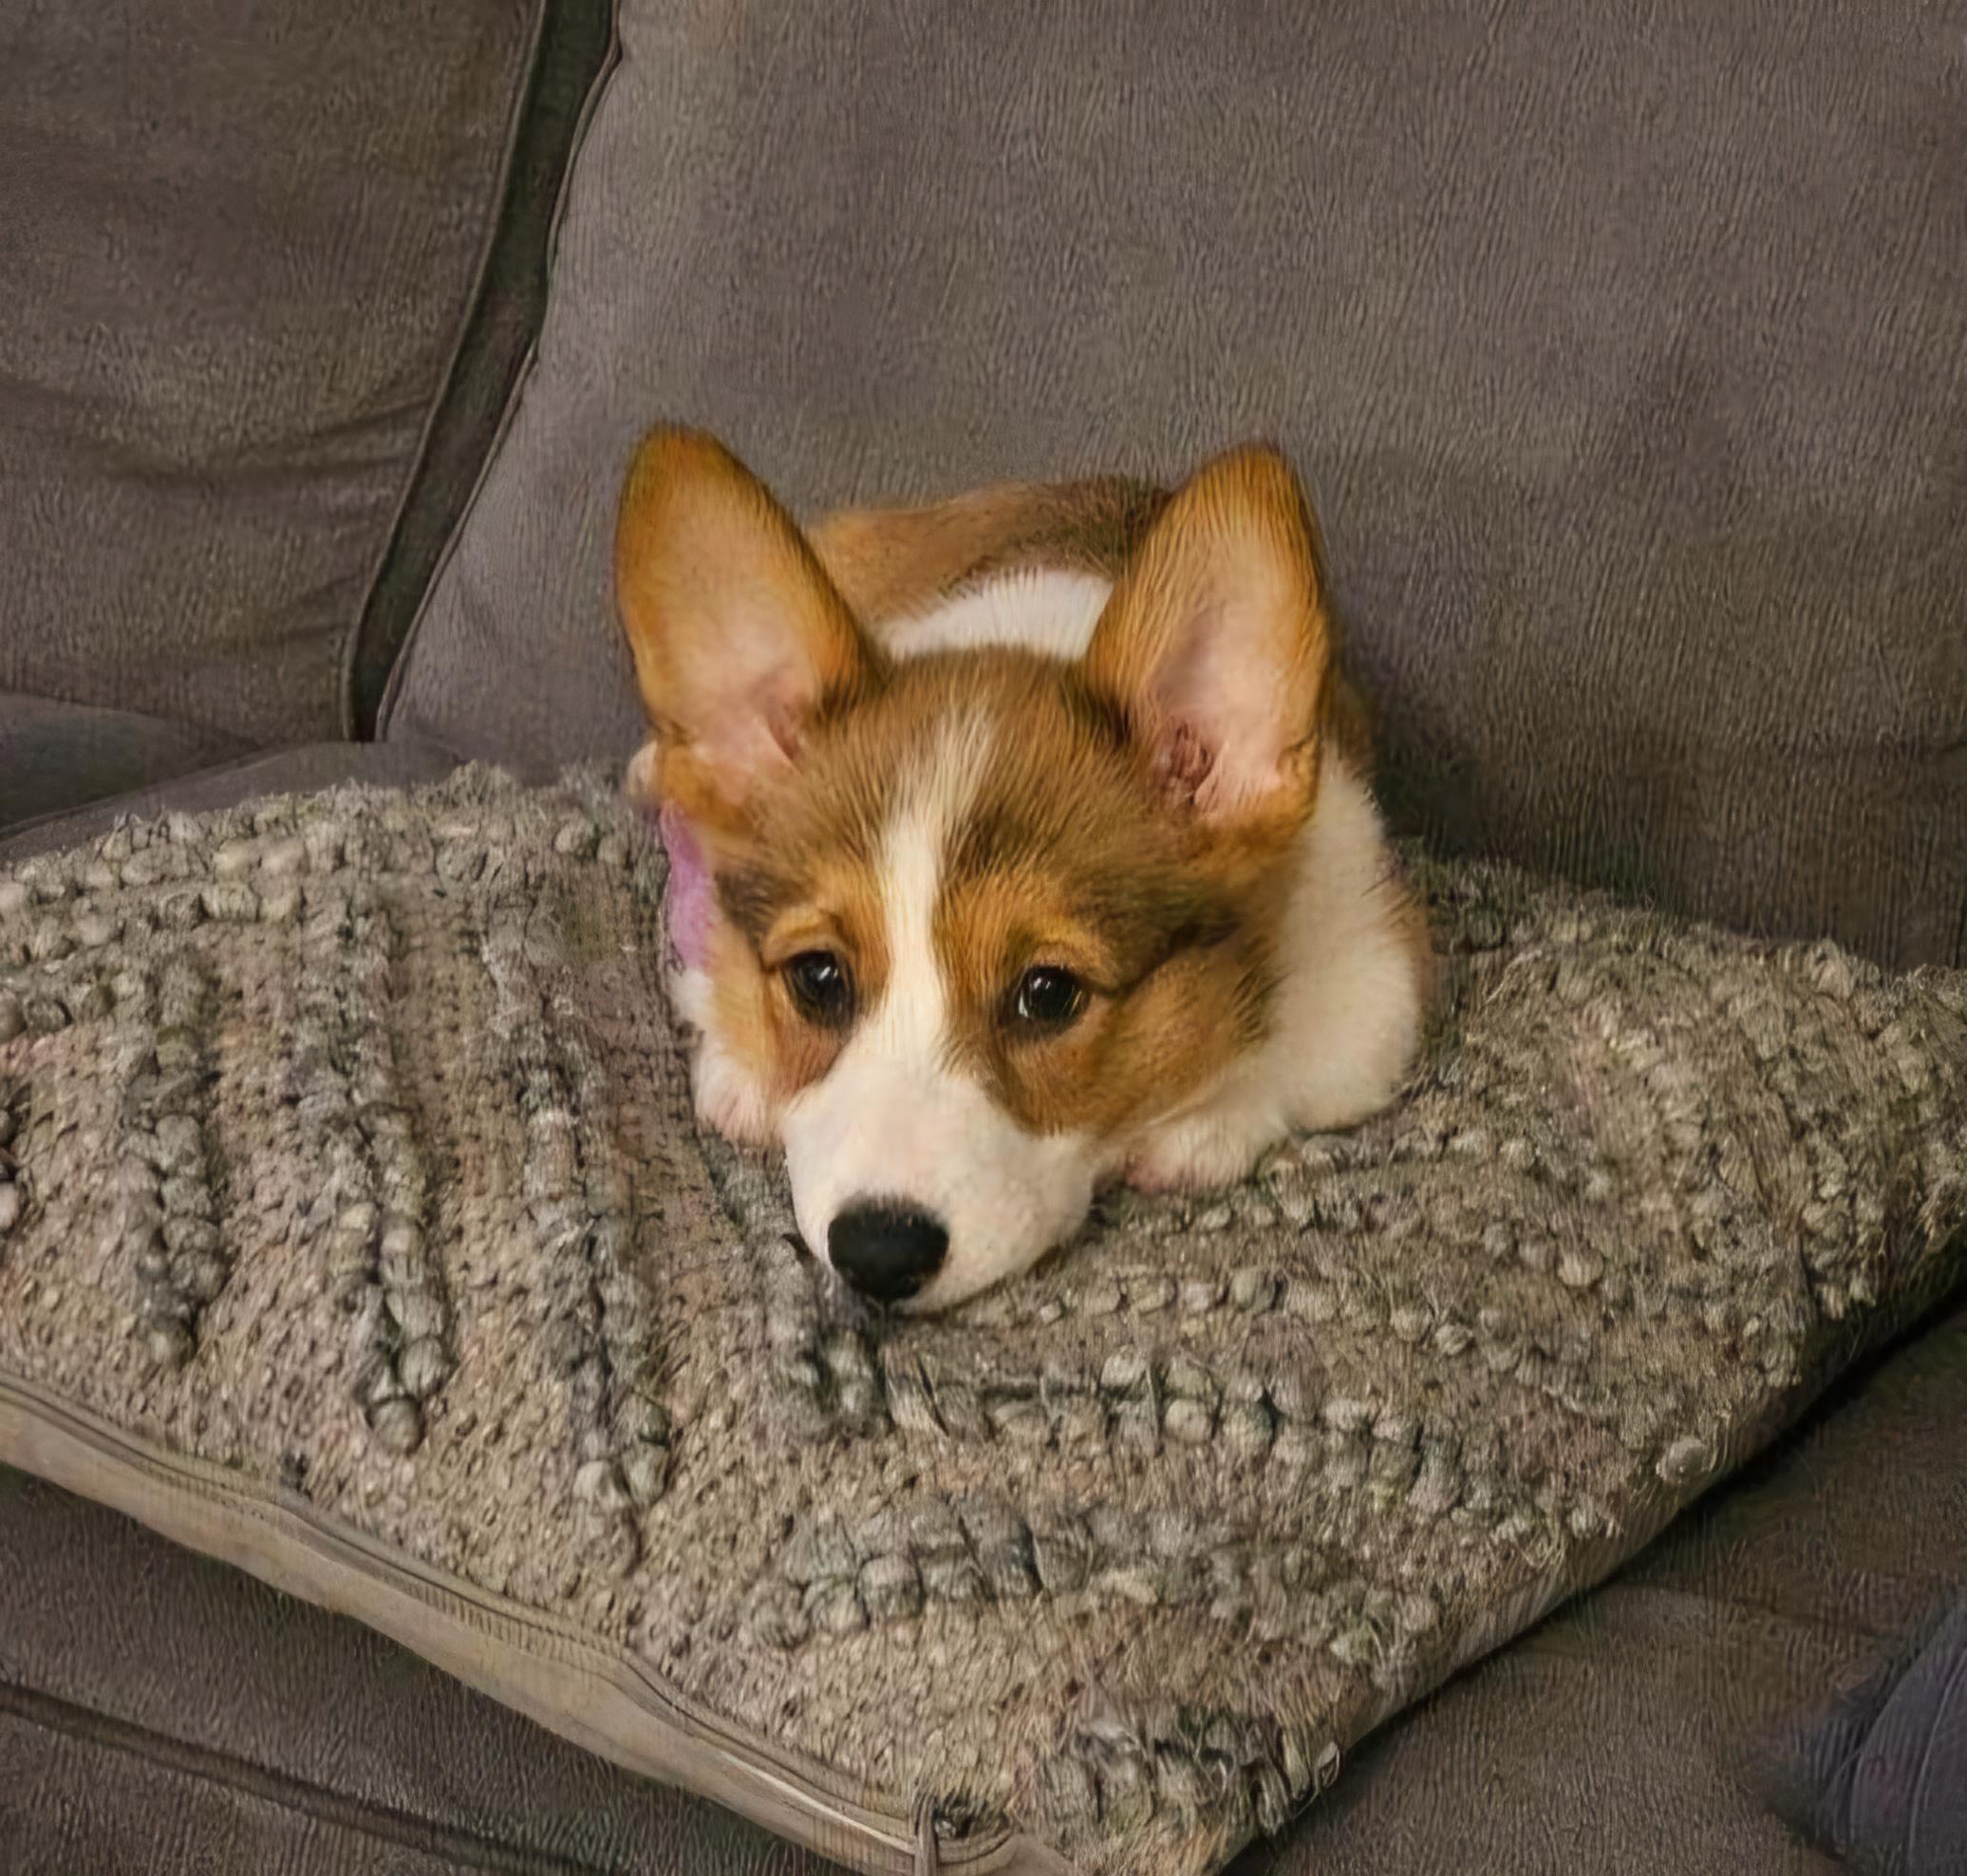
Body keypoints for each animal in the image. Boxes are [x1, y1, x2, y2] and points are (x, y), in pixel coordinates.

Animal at [615, 427, 1430, 1312]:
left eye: (1049, 993)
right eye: (818, 978)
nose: (877, 1256)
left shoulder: (1377, 986)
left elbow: (1294, 1068)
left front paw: (1202, 1129)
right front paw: (742, 1072)